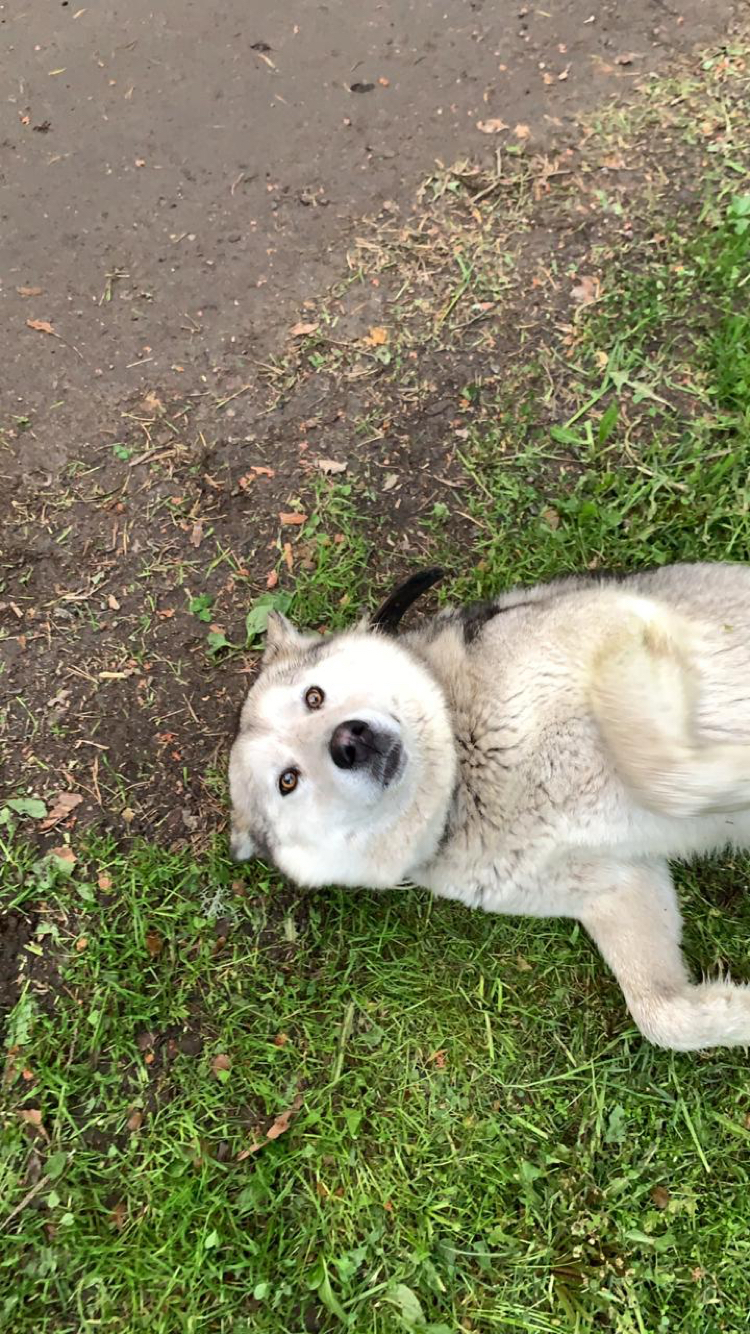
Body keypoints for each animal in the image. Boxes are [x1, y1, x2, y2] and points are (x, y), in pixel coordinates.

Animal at [226, 562, 747, 1051]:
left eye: (313, 697)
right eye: (287, 781)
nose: (349, 741)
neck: (466, 774)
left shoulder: (613, 623)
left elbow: (665, 781)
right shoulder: (620, 883)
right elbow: (661, 1016)